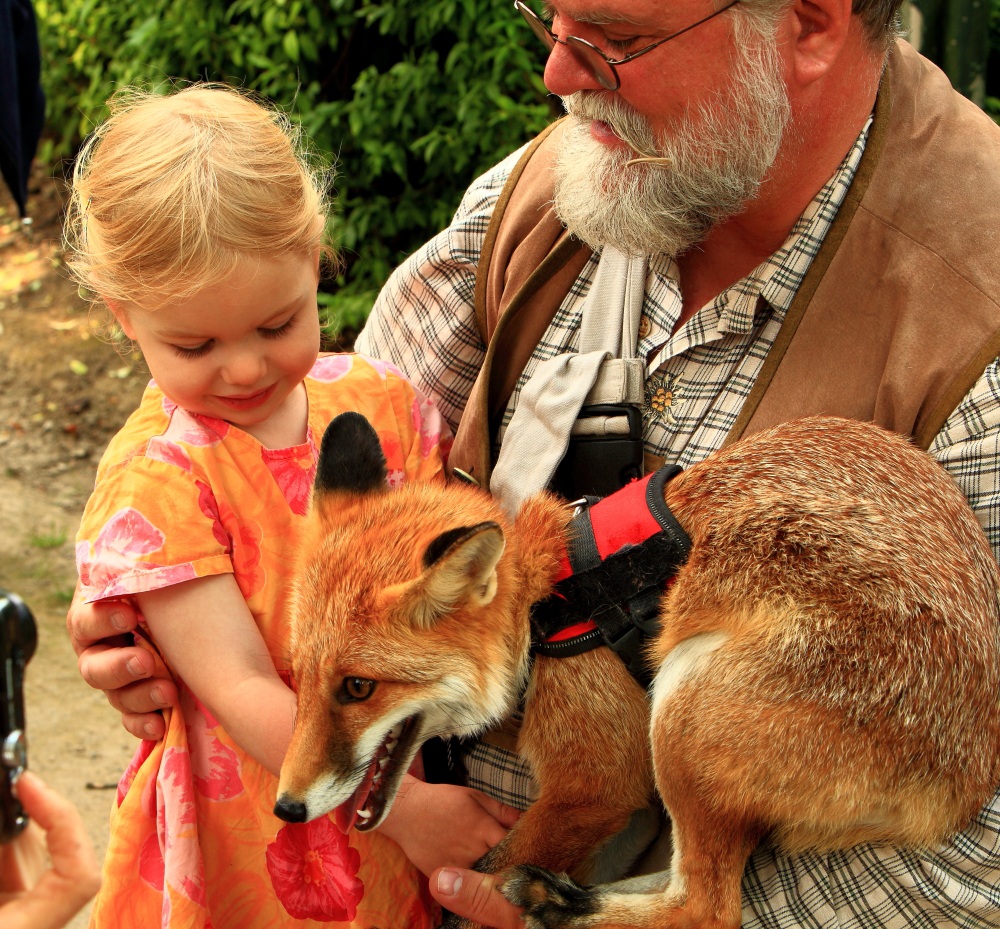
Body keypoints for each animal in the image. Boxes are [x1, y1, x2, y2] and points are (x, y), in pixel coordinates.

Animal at [274, 414, 1000, 928]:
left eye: (358, 687)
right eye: (301, 675)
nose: (287, 806)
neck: (548, 607)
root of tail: (972, 773)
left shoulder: (599, 780)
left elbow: (496, 869)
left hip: (683, 706)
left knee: (707, 910)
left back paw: (565, 905)